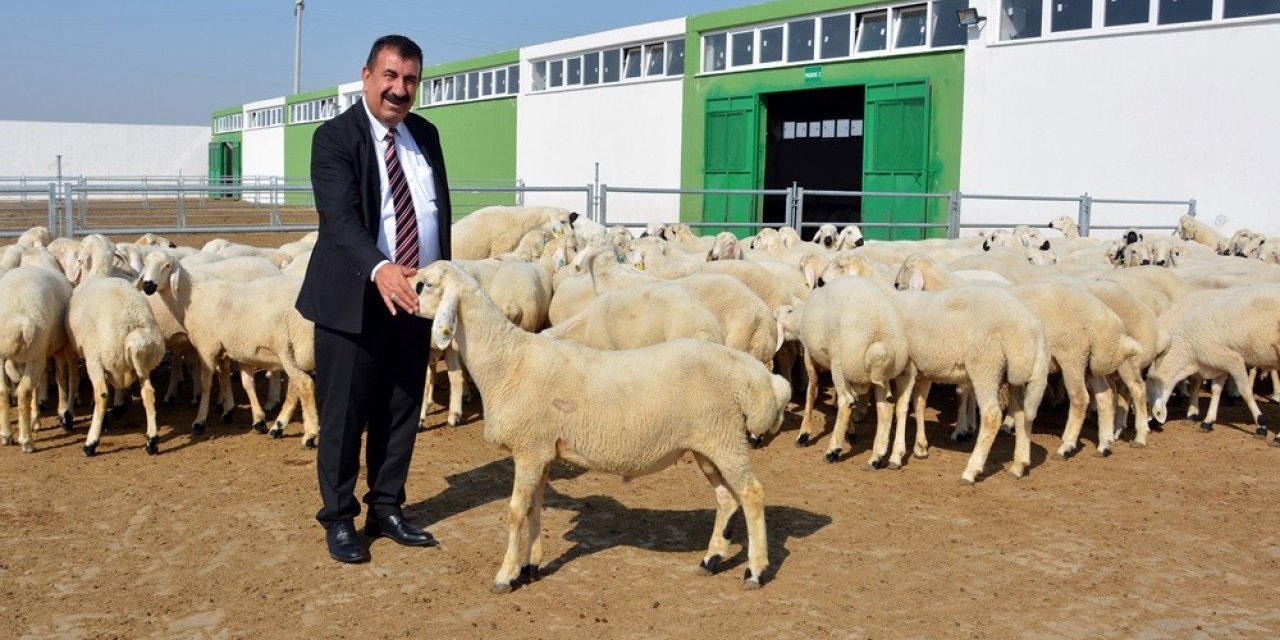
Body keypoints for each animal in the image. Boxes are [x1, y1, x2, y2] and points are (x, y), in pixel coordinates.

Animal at [409, 262, 788, 591]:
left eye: (424, 284)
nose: (403, 298)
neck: (508, 361)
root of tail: (748, 372)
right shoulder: (542, 451)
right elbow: (534, 507)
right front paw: (531, 565)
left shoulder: (528, 448)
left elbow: (516, 512)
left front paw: (506, 575)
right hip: (708, 443)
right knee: (726, 498)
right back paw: (712, 559)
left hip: (725, 440)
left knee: (752, 494)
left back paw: (755, 570)